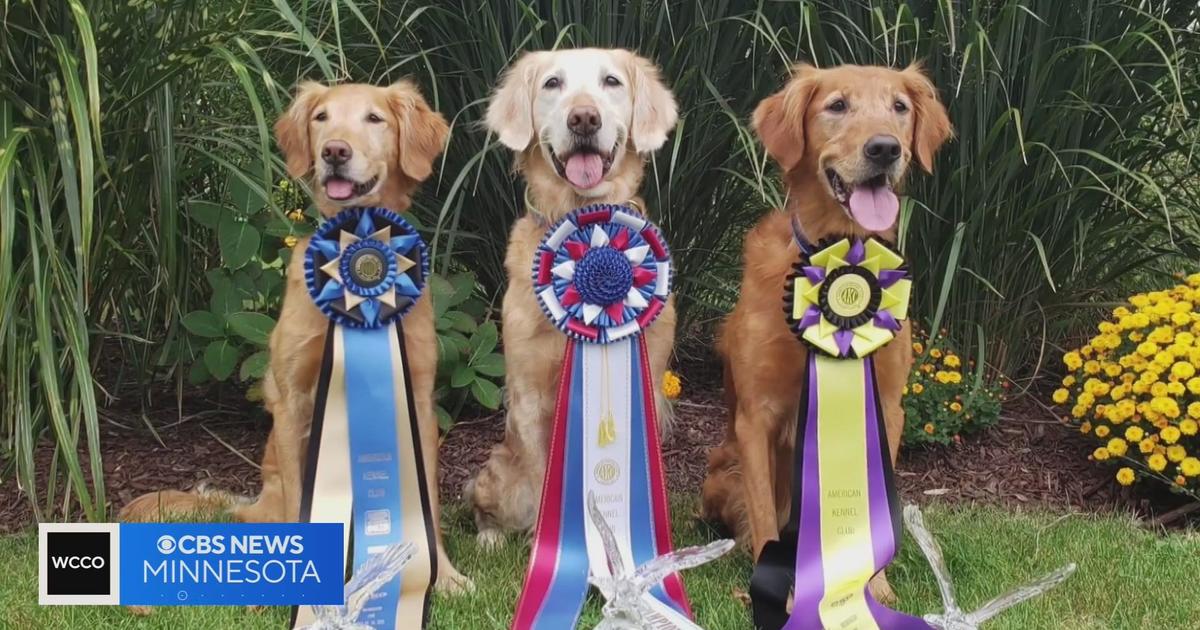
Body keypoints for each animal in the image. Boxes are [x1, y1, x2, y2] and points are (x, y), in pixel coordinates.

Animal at [120, 81, 468, 592]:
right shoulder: (292, 399)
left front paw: (442, 575)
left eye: (374, 118)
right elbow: (301, 505)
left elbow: (428, 505)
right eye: (322, 117)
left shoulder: (417, 400)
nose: (334, 152)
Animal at [465, 49, 681, 542]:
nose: (584, 117)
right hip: (495, 474)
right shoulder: (529, 392)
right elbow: (544, 478)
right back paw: (490, 537)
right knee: (489, 505)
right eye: (552, 83)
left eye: (611, 81)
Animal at [700, 63, 950, 600]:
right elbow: (764, 516)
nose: (884, 148)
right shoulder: (757, 416)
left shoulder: (887, 407)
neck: (838, 256)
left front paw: (873, 591)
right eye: (837, 105)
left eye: (900, 107)